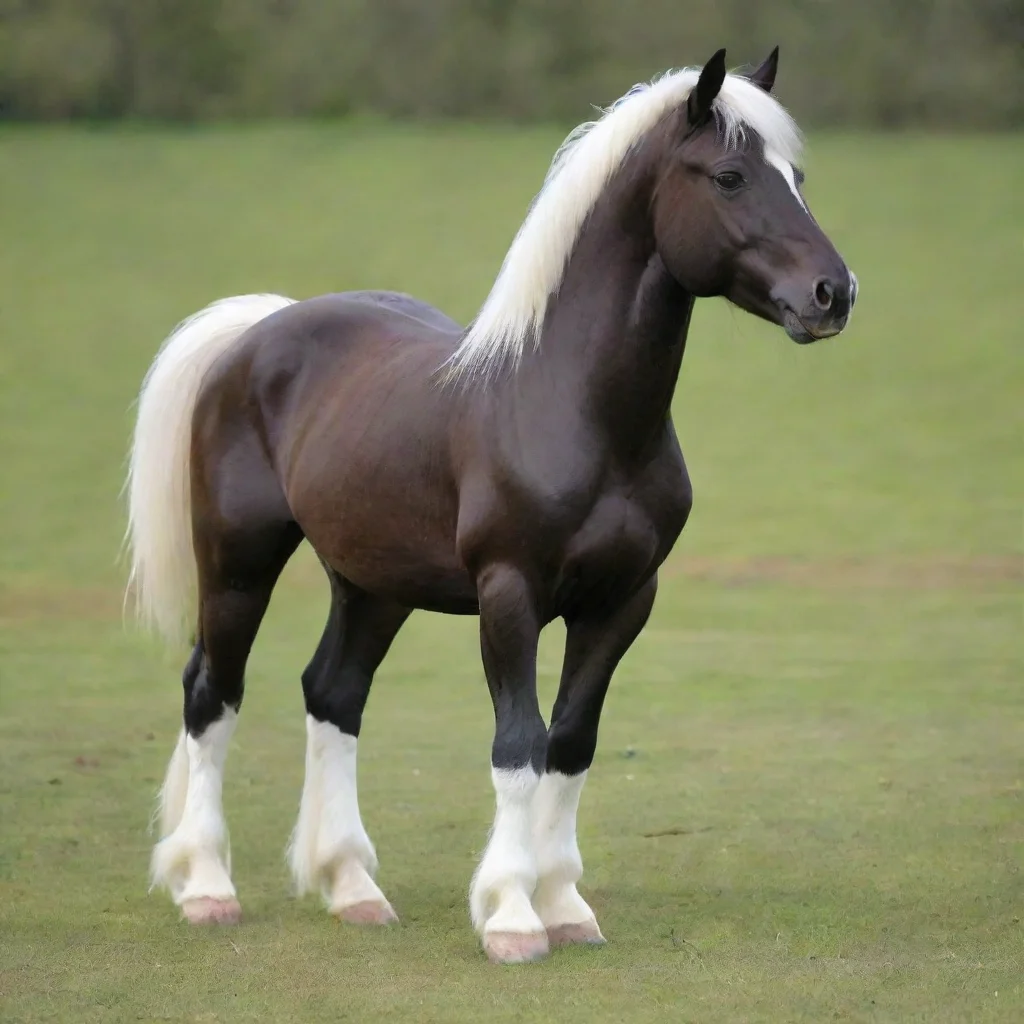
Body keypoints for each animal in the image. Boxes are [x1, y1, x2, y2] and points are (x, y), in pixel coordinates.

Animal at [125, 47, 857, 964]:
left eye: (796, 175)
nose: (834, 293)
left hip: (373, 584)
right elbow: (520, 744)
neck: (572, 409)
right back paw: (208, 888)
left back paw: (352, 888)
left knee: (333, 694)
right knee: (211, 694)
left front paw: (565, 904)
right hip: (238, 566)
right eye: (729, 175)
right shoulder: (509, 595)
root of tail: (260, 331)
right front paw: (512, 914)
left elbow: (571, 743)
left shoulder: (623, 601)